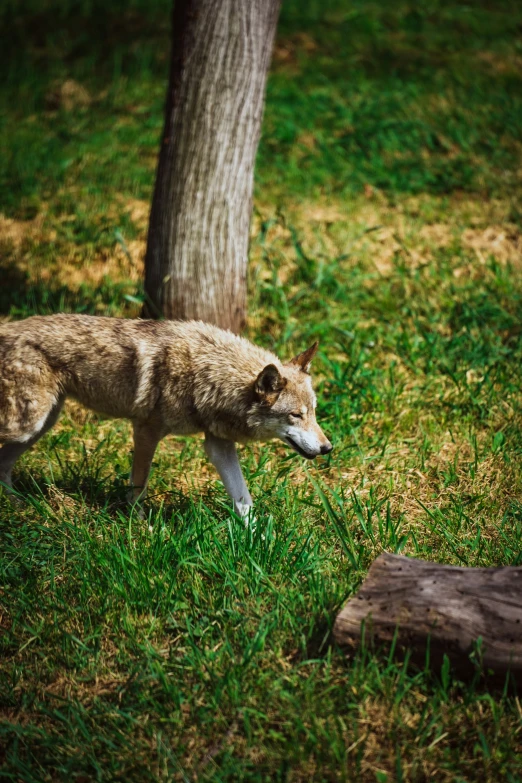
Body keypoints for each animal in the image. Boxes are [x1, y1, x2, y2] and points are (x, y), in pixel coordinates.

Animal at [0, 312, 332, 520]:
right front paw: (139, 526)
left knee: (4, 467)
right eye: (295, 415)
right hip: (27, 425)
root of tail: (7, 328)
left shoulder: (218, 445)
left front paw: (259, 541)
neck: (207, 373)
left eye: (314, 413)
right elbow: (138, 486)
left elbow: (244, 500)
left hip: (39, 427)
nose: (328, 448)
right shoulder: (145, 430)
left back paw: (16, 506)